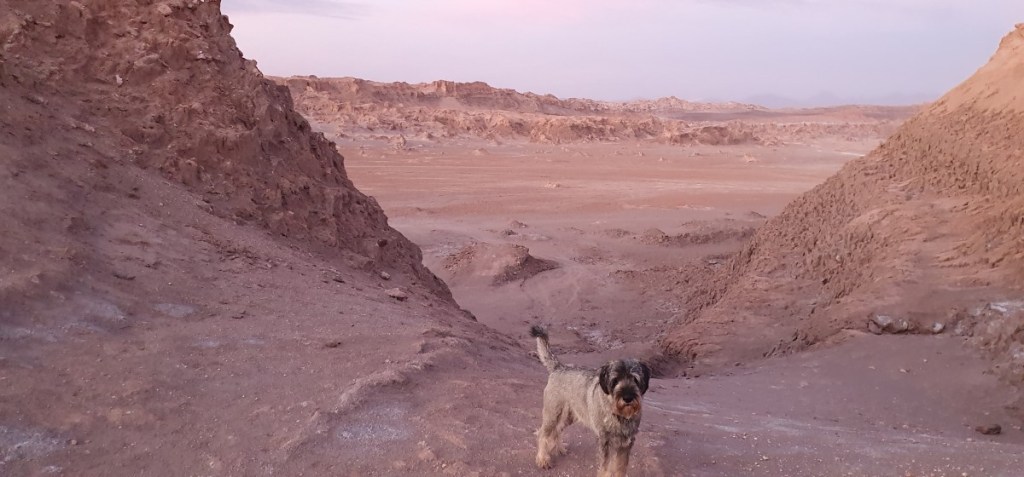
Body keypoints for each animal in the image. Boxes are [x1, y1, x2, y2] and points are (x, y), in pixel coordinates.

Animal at [530, 325, 651, 477]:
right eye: (615, 381)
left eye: (635, 379)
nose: (627, 398)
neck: (619, 415)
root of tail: (558, 368)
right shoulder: (605, 441)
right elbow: (605, 467)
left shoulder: (626, 443)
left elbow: (620, 466)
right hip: (552, 414)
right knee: (543, 434)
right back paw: (543, 459)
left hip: (568, 417)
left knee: (556, 430)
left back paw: (558, 448)